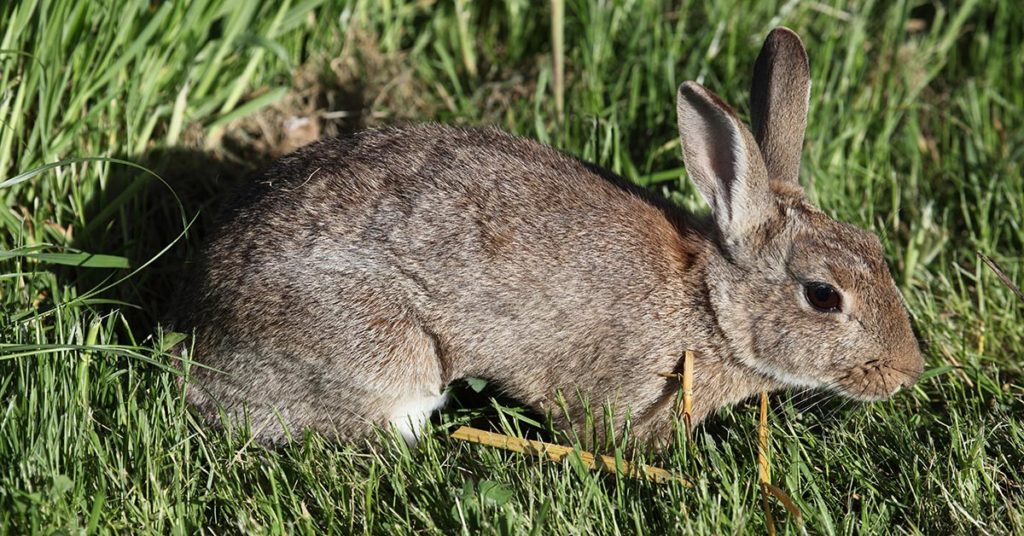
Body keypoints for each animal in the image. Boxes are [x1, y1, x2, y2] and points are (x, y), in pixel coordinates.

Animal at [178, 27, 924, 447]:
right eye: (823, 295)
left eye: (875, 248)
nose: (906, 373)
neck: (708, 306)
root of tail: (206, 318)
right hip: (388, 361)